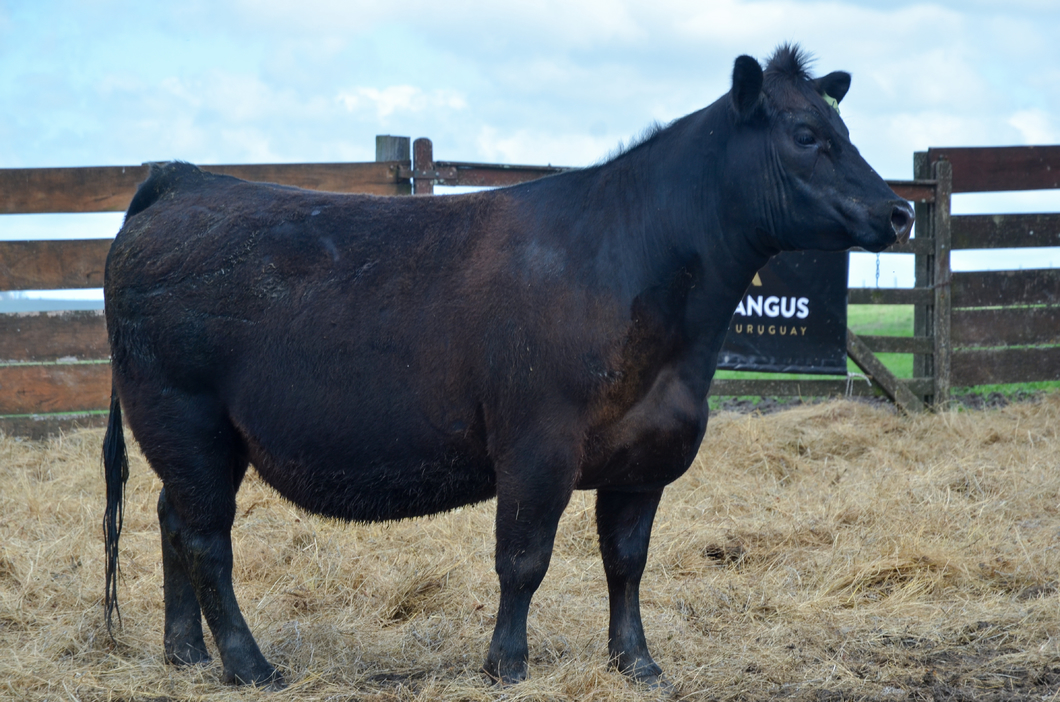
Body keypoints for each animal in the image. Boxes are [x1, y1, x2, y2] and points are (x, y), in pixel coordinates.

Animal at [101, 45, 911, 691]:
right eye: (806, 135)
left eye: (845, 130)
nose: (900, 212)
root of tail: (188, 181)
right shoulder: (536, 443)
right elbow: (524, 558)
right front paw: (507, 665)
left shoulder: (645, 454)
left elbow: (626, 560)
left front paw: (637, 663)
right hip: (185, 415)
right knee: (207, 539)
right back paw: (250, 666)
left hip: (197, 439)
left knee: (171, 518)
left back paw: (185, 653)